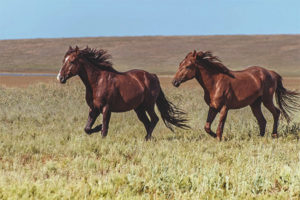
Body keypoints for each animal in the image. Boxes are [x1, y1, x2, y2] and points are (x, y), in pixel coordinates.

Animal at [56, 46, 189, 140]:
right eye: (63, 60)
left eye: (72, 61)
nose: (60, 78)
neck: (97, 82)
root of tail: (153, 76)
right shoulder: (93, 109)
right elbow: (87, 129)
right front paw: (97, 127)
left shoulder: (106, 108)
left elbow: (105, 128)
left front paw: (100, 130)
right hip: (139, 109)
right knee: (147, 122)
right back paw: (148, 139)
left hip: (148, 105)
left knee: (154, 119)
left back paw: (147, 138)